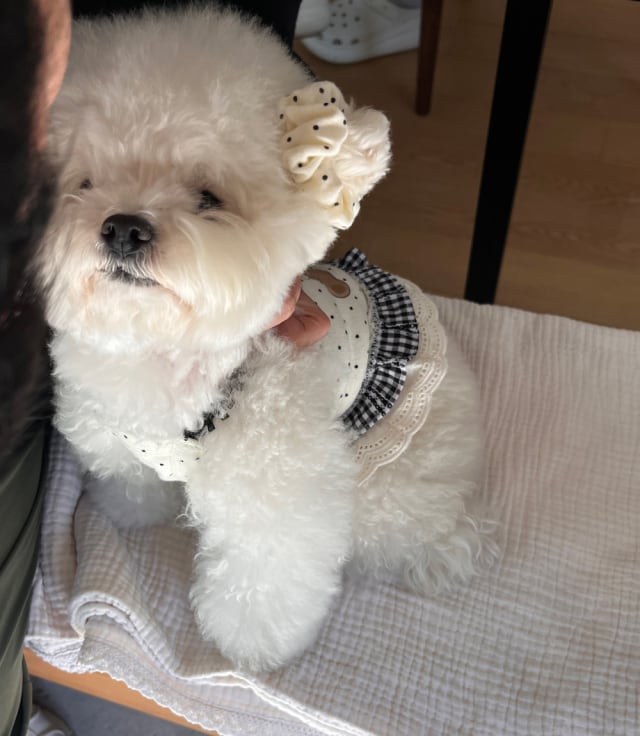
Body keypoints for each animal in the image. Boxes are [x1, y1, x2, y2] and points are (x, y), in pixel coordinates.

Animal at [37, 5, 497, 672]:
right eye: (85, 183)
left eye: (208, 198)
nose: (123, 227)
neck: (165, 359)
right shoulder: (119, 442)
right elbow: (134, 485)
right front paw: (134, 511)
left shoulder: (277, 495)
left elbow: (265, 578)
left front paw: (250, 648)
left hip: (389, 492)